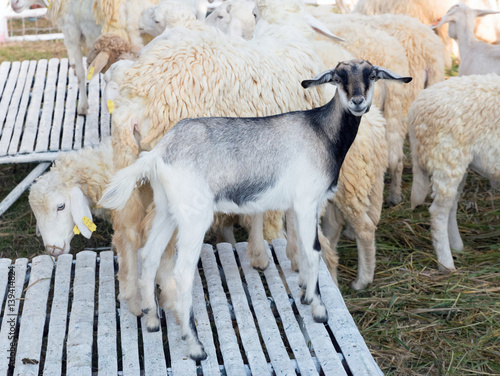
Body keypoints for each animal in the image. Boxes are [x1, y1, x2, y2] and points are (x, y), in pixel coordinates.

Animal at [99, 59, 412, 362]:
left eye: (372, 75)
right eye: (338, 77)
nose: (358, 101)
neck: (321, 133)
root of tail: (158, 153)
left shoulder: (296, 206)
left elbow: (302, 249)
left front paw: (305, 293)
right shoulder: (308, 202)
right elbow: (314, 251)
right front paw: (319, 309)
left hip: (167, 210)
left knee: (149, 256)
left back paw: (152, 319)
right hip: (194, 217)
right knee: (182, 273)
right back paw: (196, 347)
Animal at [410, 75, 500, 272]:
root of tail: (417, 104)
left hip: (457, 163)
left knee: (451, 205)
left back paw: (457, 247)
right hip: (445, 155)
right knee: (438, 212)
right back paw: (446, 264)